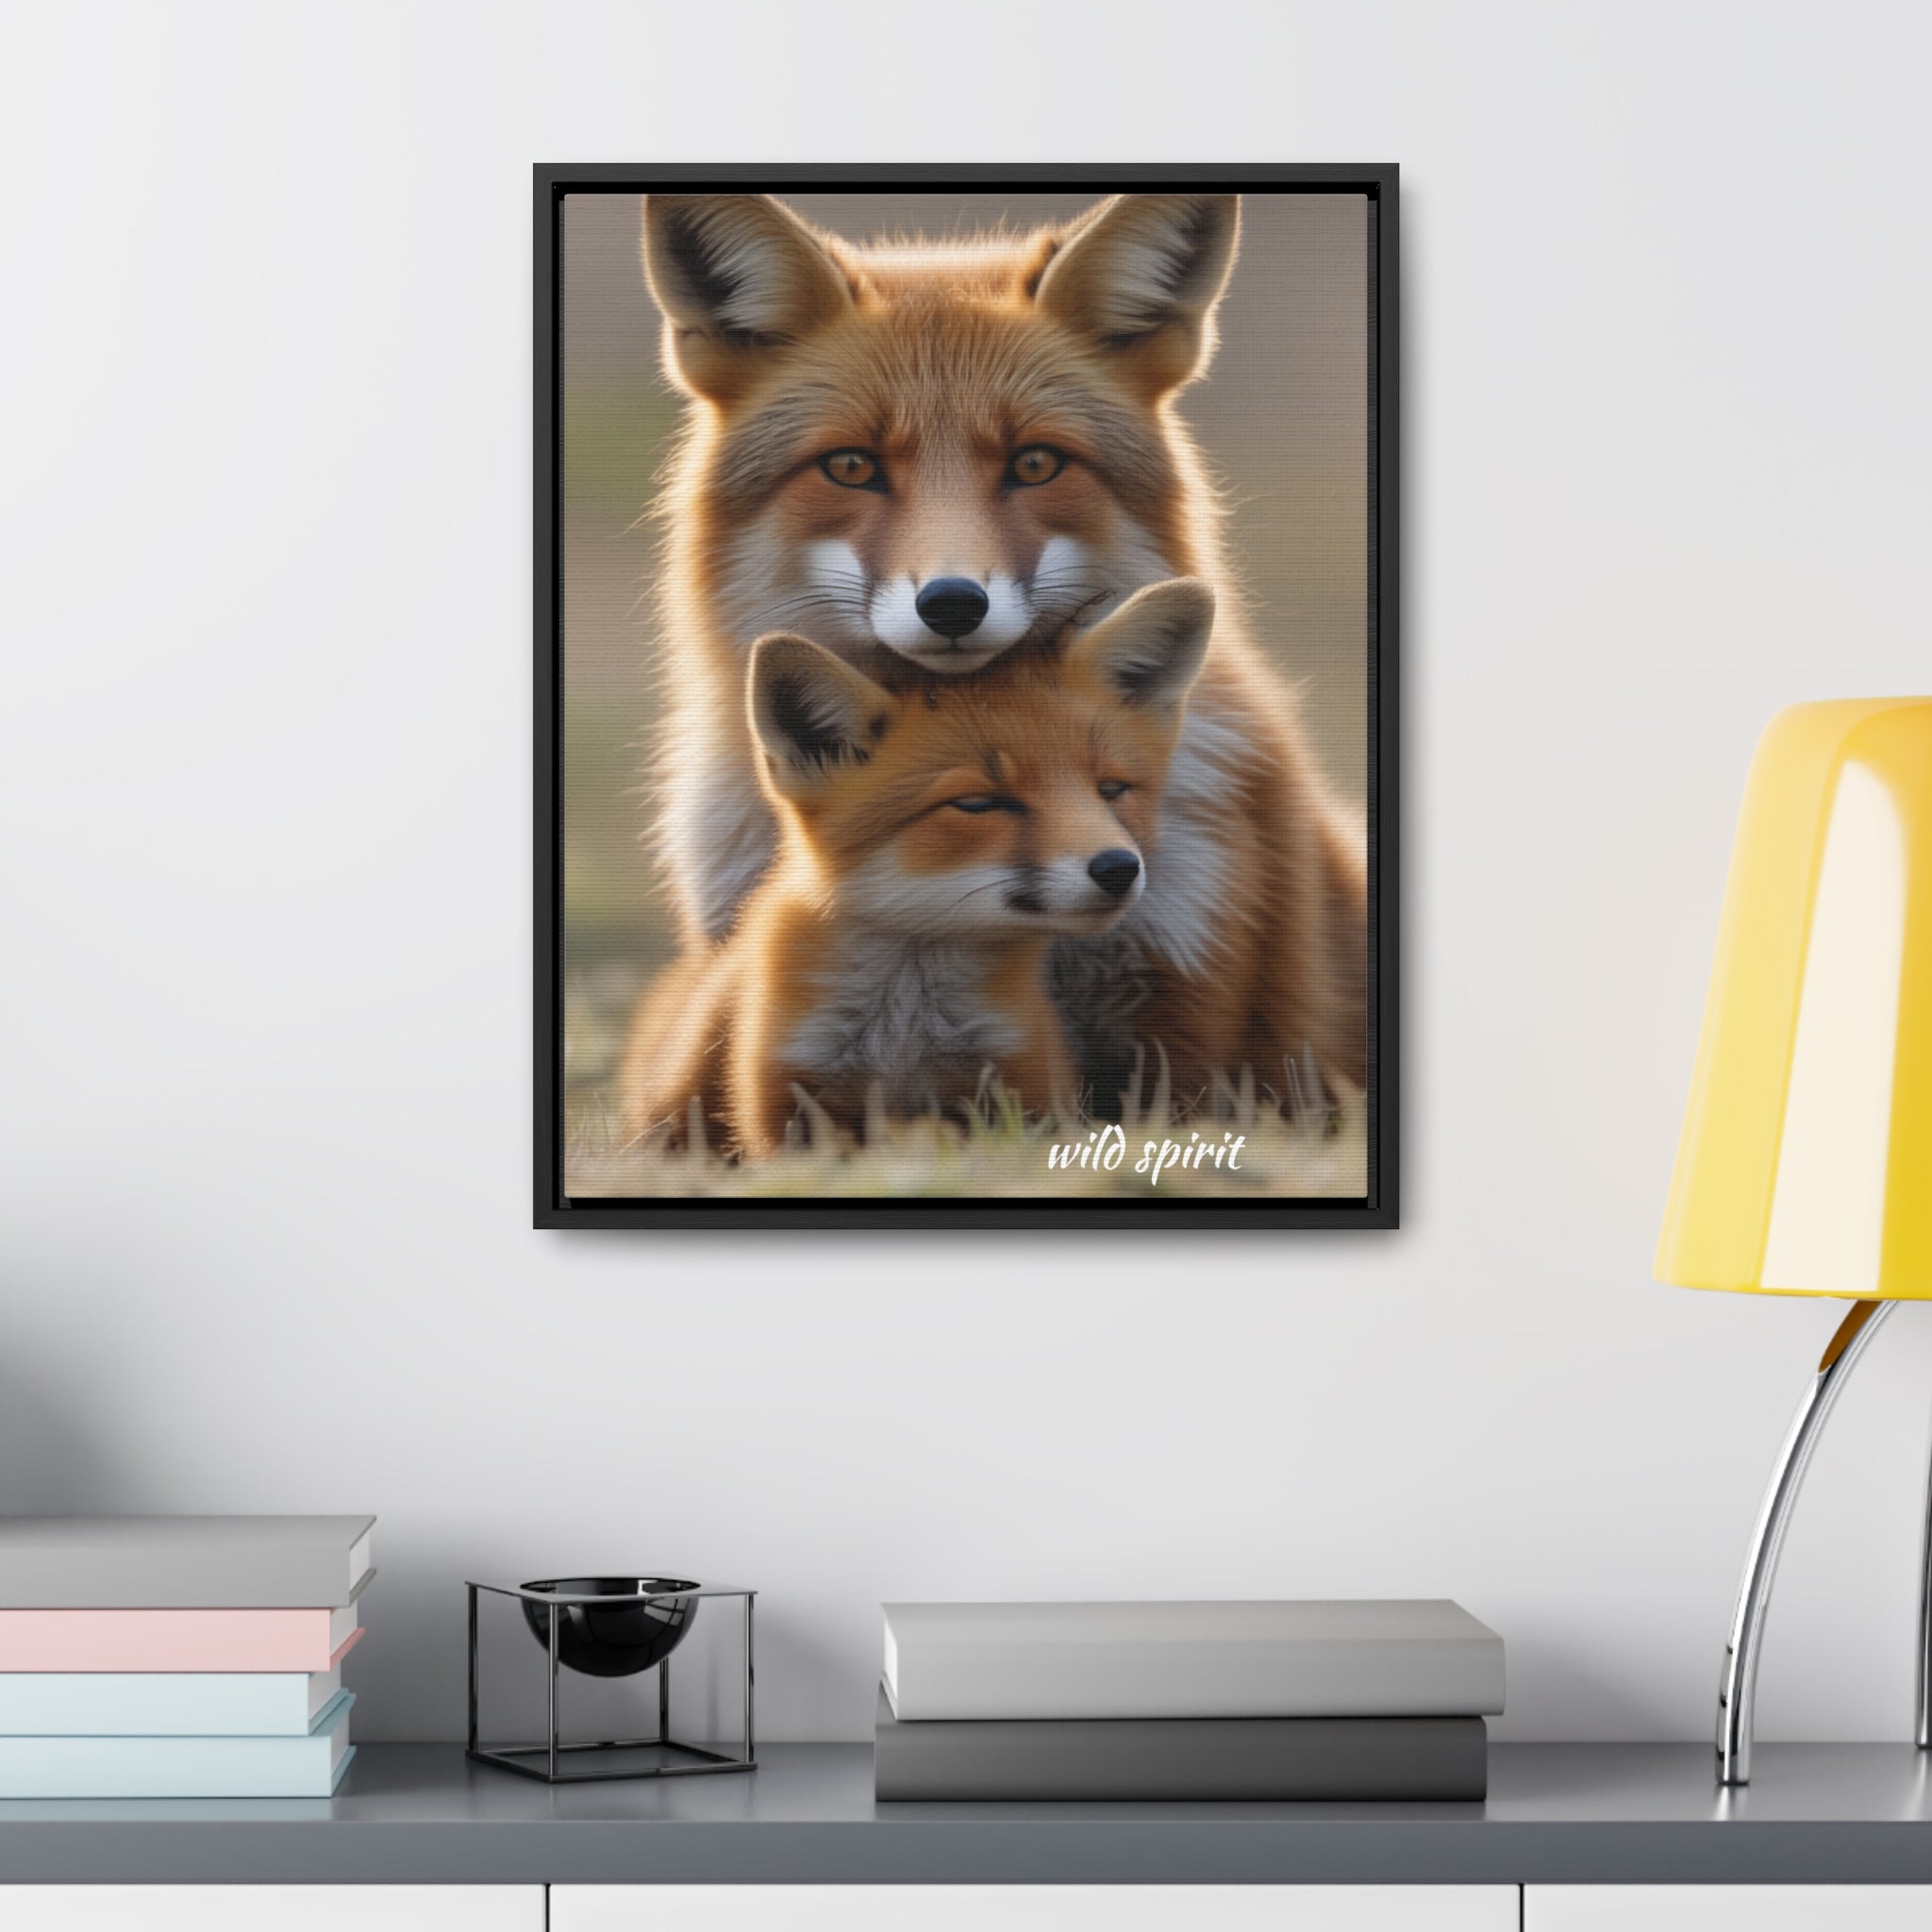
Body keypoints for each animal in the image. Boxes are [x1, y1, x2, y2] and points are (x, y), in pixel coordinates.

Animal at [620, 579, 1213, 1158]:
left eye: (1111, 790)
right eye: (978, 803)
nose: (1119, 868)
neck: (904, 1029)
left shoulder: (1023, 1085)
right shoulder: (788, 1101)